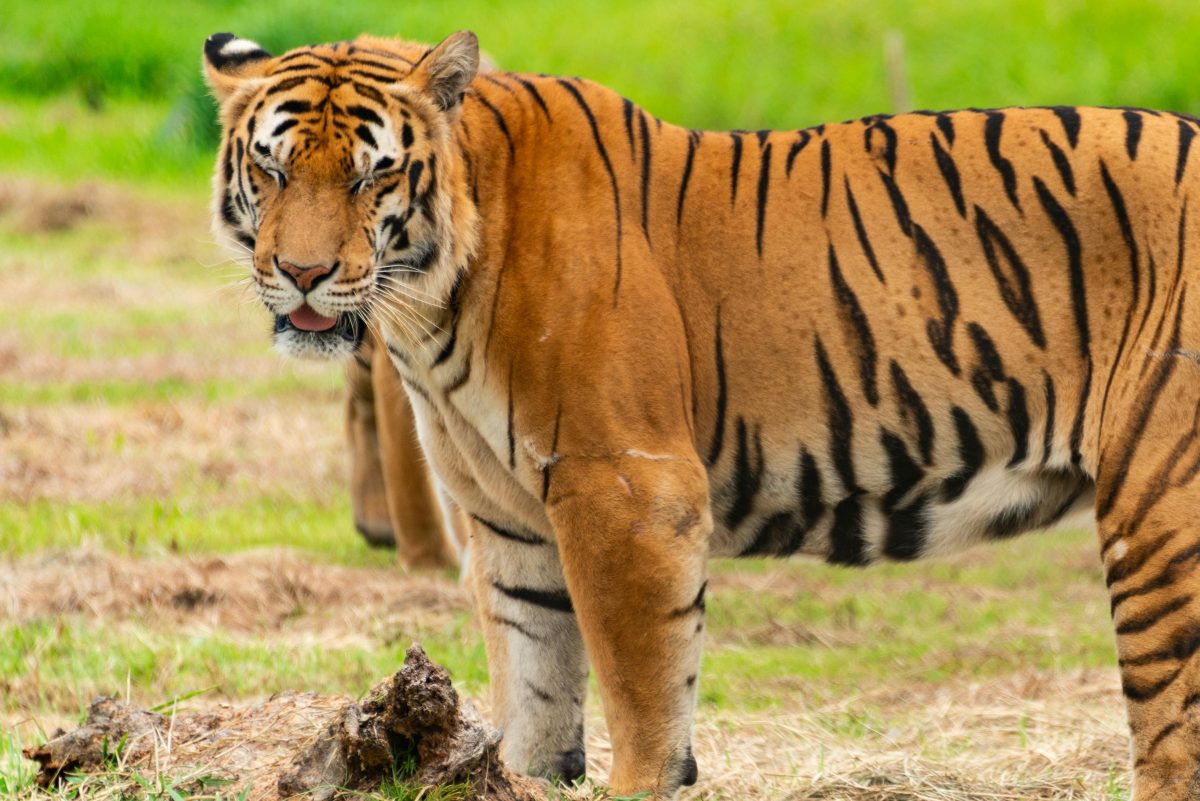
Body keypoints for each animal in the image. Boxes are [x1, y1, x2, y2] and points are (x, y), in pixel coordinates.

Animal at [203, 28, 1200, 800]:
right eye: (272, 168)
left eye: (370, 179)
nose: (301, 273)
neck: (431, 307)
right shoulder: (508, 522)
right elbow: (534, 686)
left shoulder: (627, 487)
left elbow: (643, 697)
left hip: (1161, 515)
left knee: (1171, 737)